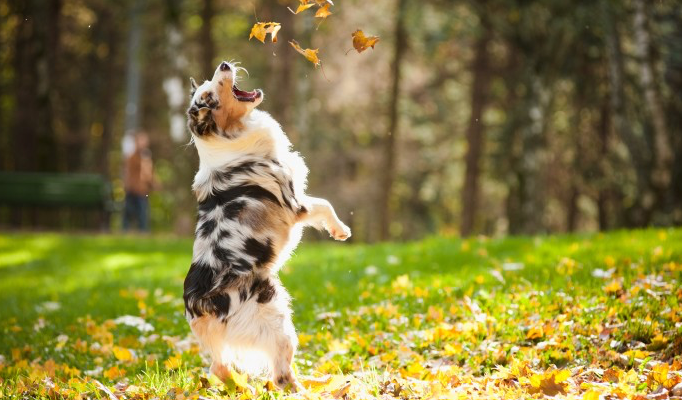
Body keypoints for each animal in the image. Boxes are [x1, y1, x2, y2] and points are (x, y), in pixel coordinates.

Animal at [181, 61, 350, 392]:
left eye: (209, 83)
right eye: (209, 95)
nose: (224, 64)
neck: (227, 139)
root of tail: (200, 305)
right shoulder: (294, 203)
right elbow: (325, 204)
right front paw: (340, 231)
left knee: (220, 367)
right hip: (277, 318)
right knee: (282, 376)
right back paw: (313, 389)